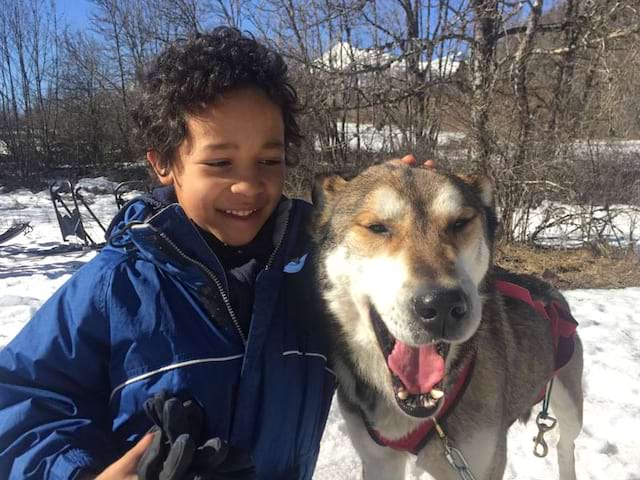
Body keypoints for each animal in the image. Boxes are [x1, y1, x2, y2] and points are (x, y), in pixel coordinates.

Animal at [312, 164, 584, 480]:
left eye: (460, 223)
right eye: (377, 227)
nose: (441, 304)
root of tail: (551, 292)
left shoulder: (481, 462)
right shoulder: (379, 461)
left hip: (570, 405)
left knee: (566, 444)